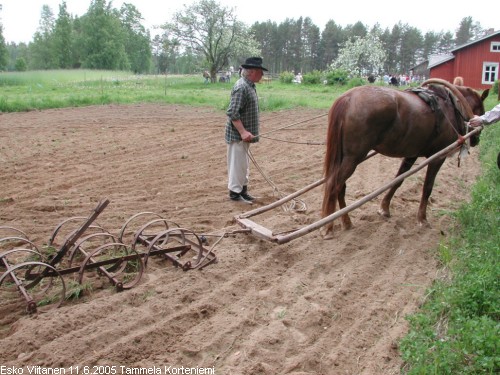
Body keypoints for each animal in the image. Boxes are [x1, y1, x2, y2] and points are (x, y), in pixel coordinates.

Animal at [320, 79, 488, 239]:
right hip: (353, 158)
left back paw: (346, 222)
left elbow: (398, 180)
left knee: (340, 186)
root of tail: (348, 98)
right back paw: (328, 227)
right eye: (481, 111)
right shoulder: (438, 157)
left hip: (345, 157)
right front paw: (422, 219)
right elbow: (427, 187)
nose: (476, 140)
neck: (451, 107)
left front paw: (384, 208)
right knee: (334, 185)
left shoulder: (411, 155)